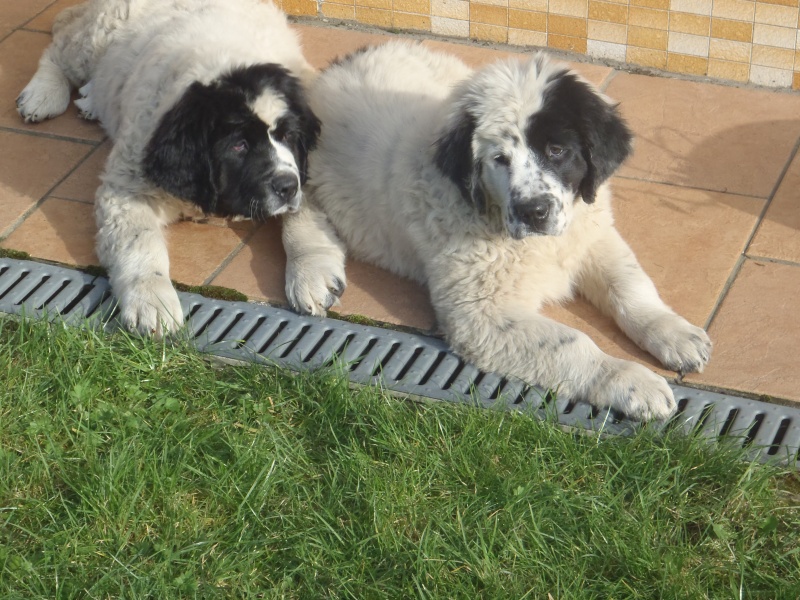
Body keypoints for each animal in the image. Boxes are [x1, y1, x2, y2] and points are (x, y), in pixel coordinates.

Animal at [15, 0, 324, 336]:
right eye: (239, 145)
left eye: (288, 136)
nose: (286, 187)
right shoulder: (129, 186)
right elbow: (140, 242)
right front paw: (153, 303)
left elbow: (309, 214)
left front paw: (311, 273)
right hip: (97, 38)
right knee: (58, 48)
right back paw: (42, 95)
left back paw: (90, 99)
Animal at [286, 42, 712, 420]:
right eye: (499, 160)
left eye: (557, 150)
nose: (533, 211)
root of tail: (337, 67)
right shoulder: (480, 313)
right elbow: (570, 342)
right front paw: (630, 381)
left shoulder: (589, 235)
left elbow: (630, 285)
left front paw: (674, 333)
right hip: (304, 171)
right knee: (297, 211)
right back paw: (312, 273)